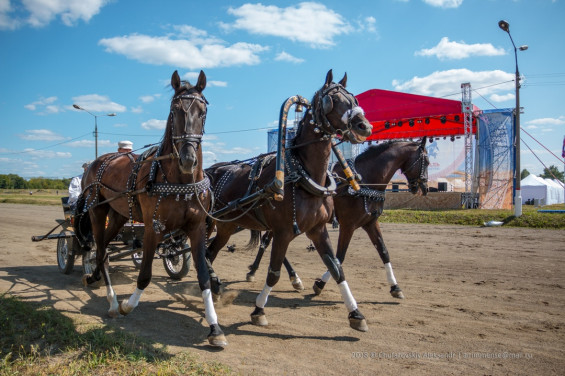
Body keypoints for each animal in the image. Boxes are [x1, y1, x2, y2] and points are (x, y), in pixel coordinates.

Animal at [76, 70, 227, 346]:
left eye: (202, 111)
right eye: (174, 111)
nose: (188, 159)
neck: (180, 181)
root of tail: (98, 161)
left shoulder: (197, 228)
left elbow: (203, 275)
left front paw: (215, 327)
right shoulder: (153, 228)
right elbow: (145, 273)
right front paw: (128, 305)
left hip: (117, 216)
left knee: (104, 252)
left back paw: (95, 279)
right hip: (96, 212)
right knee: (100, 253)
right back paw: (112, 301)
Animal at [205, 70, 372, 332]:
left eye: (354, 98)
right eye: (332, 99)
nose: (364, 126)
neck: (303, 176)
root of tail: (213, 170)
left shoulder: (318, 229)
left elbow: (336, 268)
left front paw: (356, 313)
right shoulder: (283, 231)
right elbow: (273, 272)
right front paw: (259, 310)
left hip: (227, 226)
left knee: (209, 253)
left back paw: (214, 286)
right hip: (217, 224)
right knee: (203, 252)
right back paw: (212, 282)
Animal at [246, 137, 428, 298]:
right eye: (426, 161)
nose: (424, 187)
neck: (362, 181)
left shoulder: (370, 223)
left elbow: (383, 252)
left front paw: (395, 287)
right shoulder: (348, 225)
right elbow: (339, 256)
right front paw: (319, 284)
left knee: (268, 242)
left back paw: (271, 273)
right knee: (267, 242)